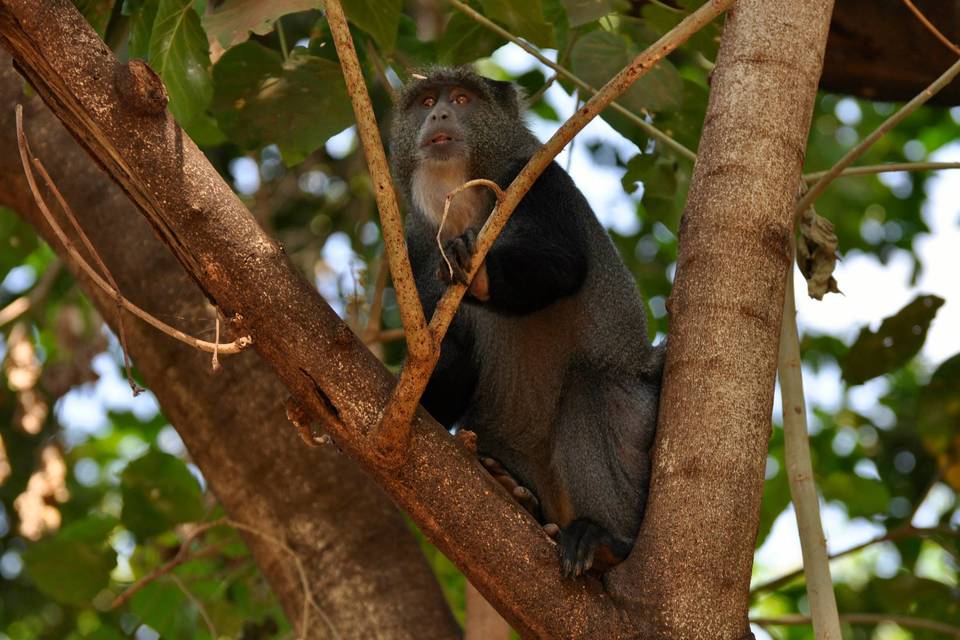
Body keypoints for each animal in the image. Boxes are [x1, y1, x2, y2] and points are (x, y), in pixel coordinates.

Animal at [386, 67, 664, 576]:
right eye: (426, 102)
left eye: (462, 99)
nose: (439, 115)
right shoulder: (417, 243)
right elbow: (451, 356)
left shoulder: (535, 180)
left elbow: (564, 264)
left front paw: (476, 272)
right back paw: (513, 490)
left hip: (638, 431)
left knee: (587, 387)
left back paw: (606, 541)